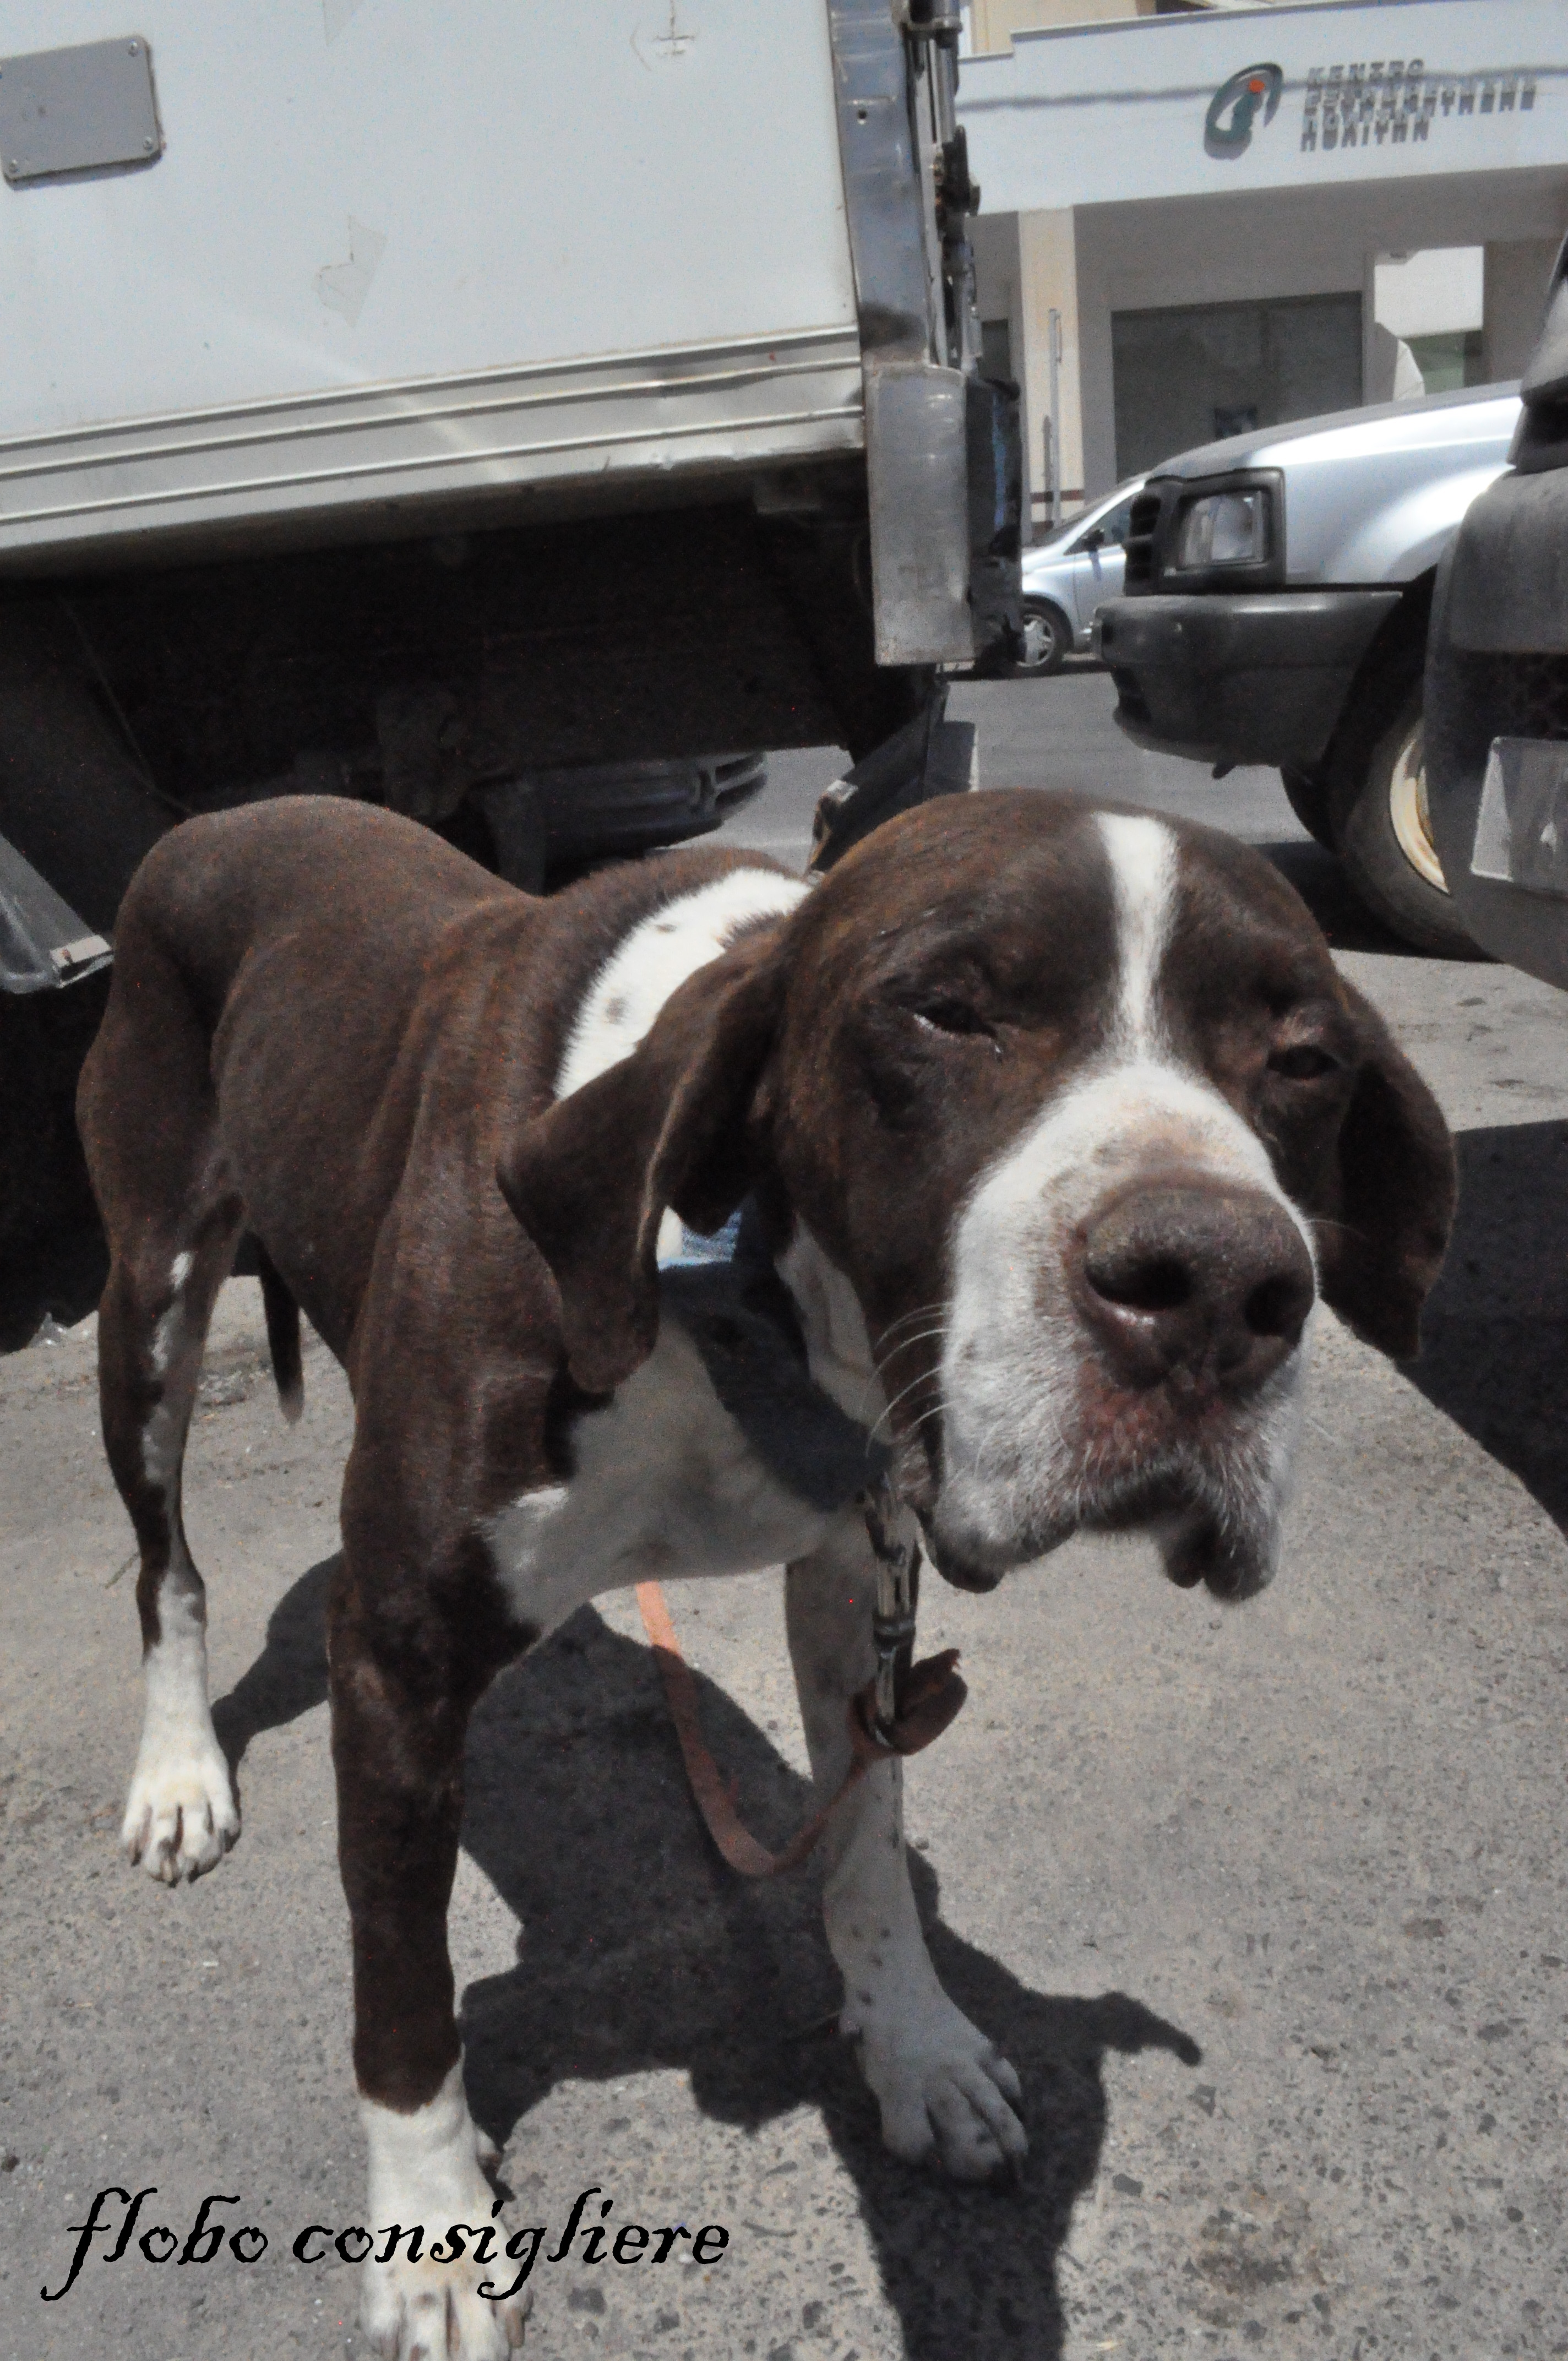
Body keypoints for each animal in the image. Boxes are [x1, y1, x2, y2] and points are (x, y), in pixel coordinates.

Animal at [78, 789, 1453, 2359]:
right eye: (942, 1011)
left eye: (1305, 1060)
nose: (1217, 1286)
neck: (721, 1267)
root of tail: (214, 821)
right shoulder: (399, 1653)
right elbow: (402, 1972)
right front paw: (428, 2228)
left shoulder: (858, 1561)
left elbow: (864, 1833)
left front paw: (912, 2046)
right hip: (150, 1300)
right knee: (166, 1566)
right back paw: (180, 1772)